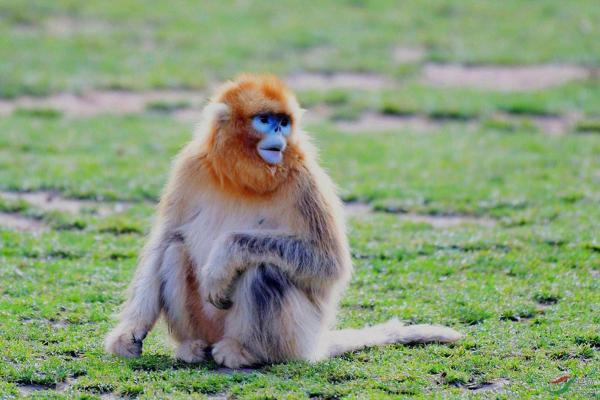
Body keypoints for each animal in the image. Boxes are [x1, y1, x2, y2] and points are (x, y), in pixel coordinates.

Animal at [104, 73, 460, 368]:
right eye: (265, 120)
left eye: (284, 122)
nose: (278, 132)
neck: (242, 178)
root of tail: (315, 345)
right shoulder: (190, 166)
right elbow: (163, 239)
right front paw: (129, 333)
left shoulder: (305, 177)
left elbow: (329, 262)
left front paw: (222, 260)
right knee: (174, 251)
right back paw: (194, 347)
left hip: (297, 335)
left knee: (263, 268)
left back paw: (245, 352)